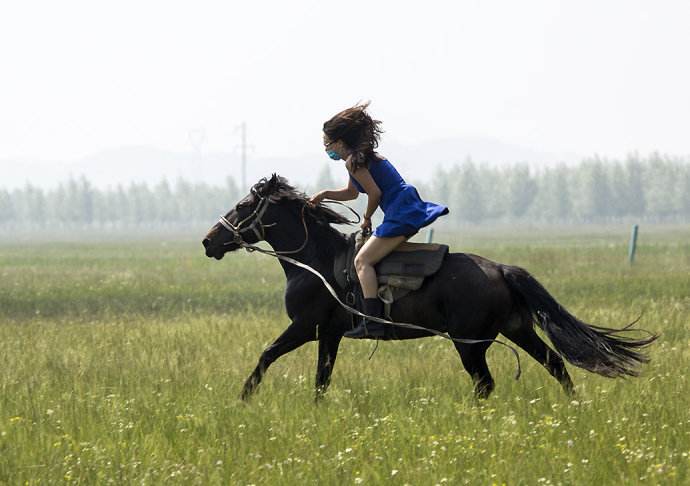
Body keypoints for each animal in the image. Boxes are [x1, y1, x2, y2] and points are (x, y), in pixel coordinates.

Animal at [200, 175, 656, 398]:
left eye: (242, 206)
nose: (208, 241)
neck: (314, 263)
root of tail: (502, 269)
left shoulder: (306, 328)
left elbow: (266, 355)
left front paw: (243, 399)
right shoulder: (328, 335)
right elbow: (320, 380)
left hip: (470, 343)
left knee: (485, 383)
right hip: (516, 329)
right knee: (555, 363)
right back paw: (574, 407)